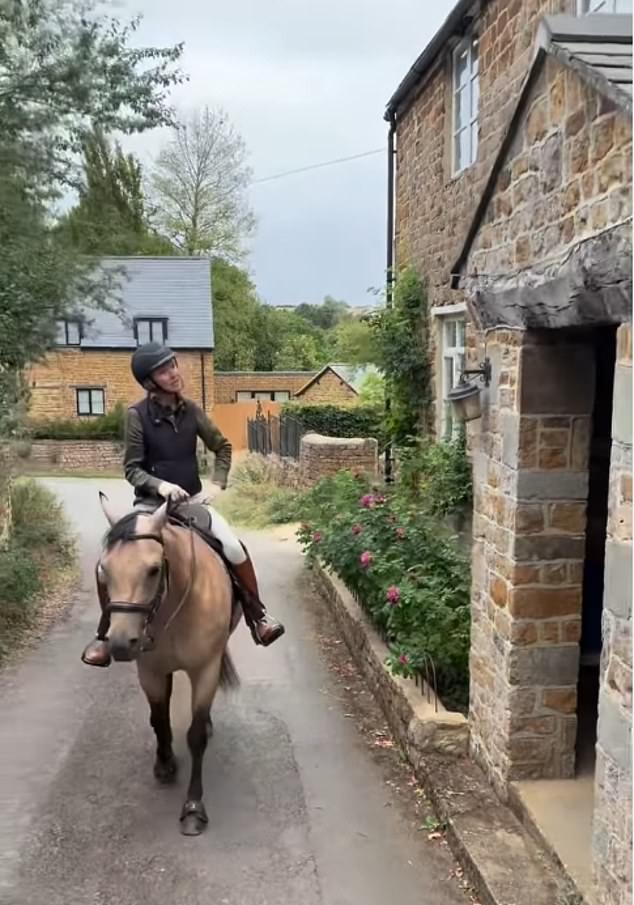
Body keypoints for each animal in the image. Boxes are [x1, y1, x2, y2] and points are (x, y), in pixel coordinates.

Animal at [98, 493, 239, 836]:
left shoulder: (206, 669)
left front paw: (193, 809)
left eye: (152, 570)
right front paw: (165, 765)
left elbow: (196, 735)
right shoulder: (150, 671)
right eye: (104, 570)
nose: (120, 644)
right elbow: (159, 720)